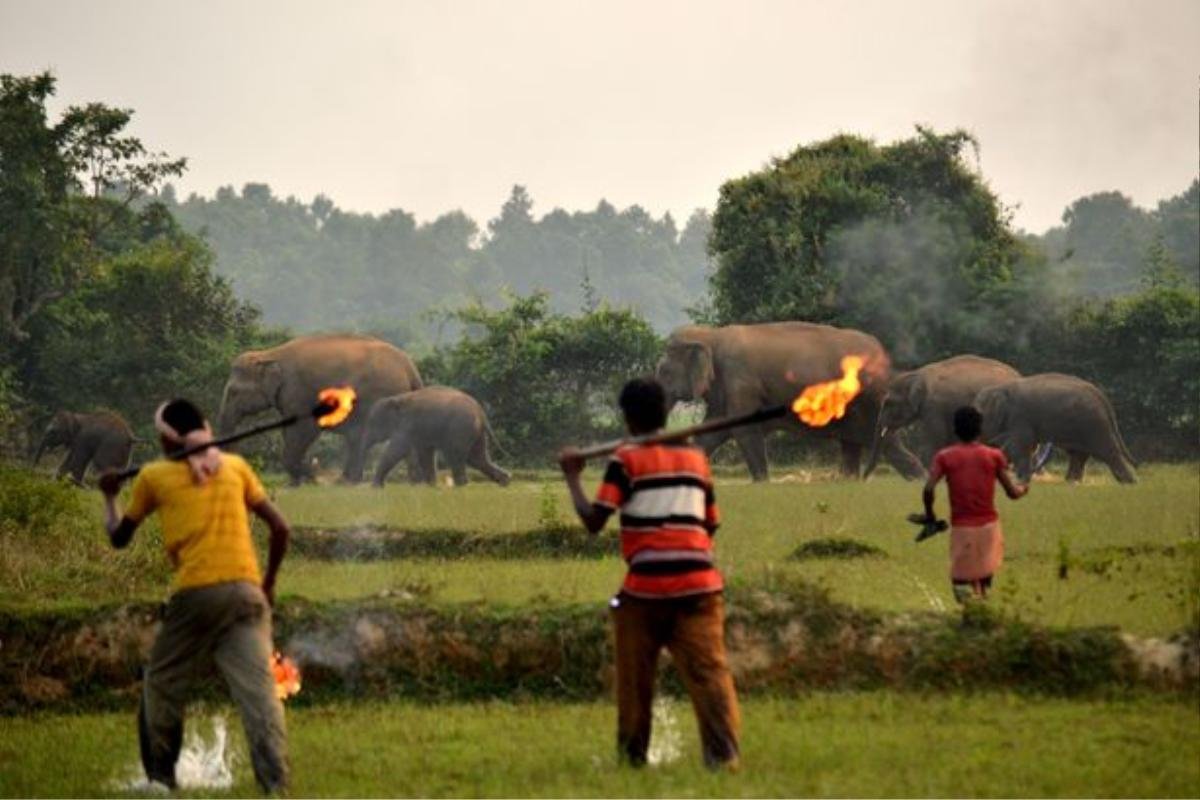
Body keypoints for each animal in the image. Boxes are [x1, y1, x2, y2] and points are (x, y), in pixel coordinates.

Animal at [218, 335, 424, 484]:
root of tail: (410, 367)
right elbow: (289, 431)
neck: (270, 354)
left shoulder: (298, 391)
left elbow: (304, 430)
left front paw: (310, 479)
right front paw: (296, 483)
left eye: (234, 392)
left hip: (377, 397)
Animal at [352, 386, 508, 489]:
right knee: (476, 458)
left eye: (372, 423)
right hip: (474, 432)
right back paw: (505, 481)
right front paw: (431, 486)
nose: (357, 481)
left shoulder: (407, 426)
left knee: (456, 456)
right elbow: (424, 453)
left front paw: (375, 487)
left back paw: (461, 486)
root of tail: (481, 412)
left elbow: (396, 451)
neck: (398, 398)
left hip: (461, 428)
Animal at [657, 323, 926, 482]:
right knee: (856, 445)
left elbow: (745, 430)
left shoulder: (740, 382)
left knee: (889, 445)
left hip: (871, 403)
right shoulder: (725, 391)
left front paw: (762, 484)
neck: (711, 335)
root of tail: (883, 355)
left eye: (663, 372)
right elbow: (711, 433)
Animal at [969, 374, 1137, 482]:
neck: (1000, 388)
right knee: (1078, 453)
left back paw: (1130, 483)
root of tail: (1101, 397)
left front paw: (1021, 481)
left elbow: (1021, 445)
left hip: (1094, 423)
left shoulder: (1020, 416)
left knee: (1107, 451)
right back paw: (1071, 481)